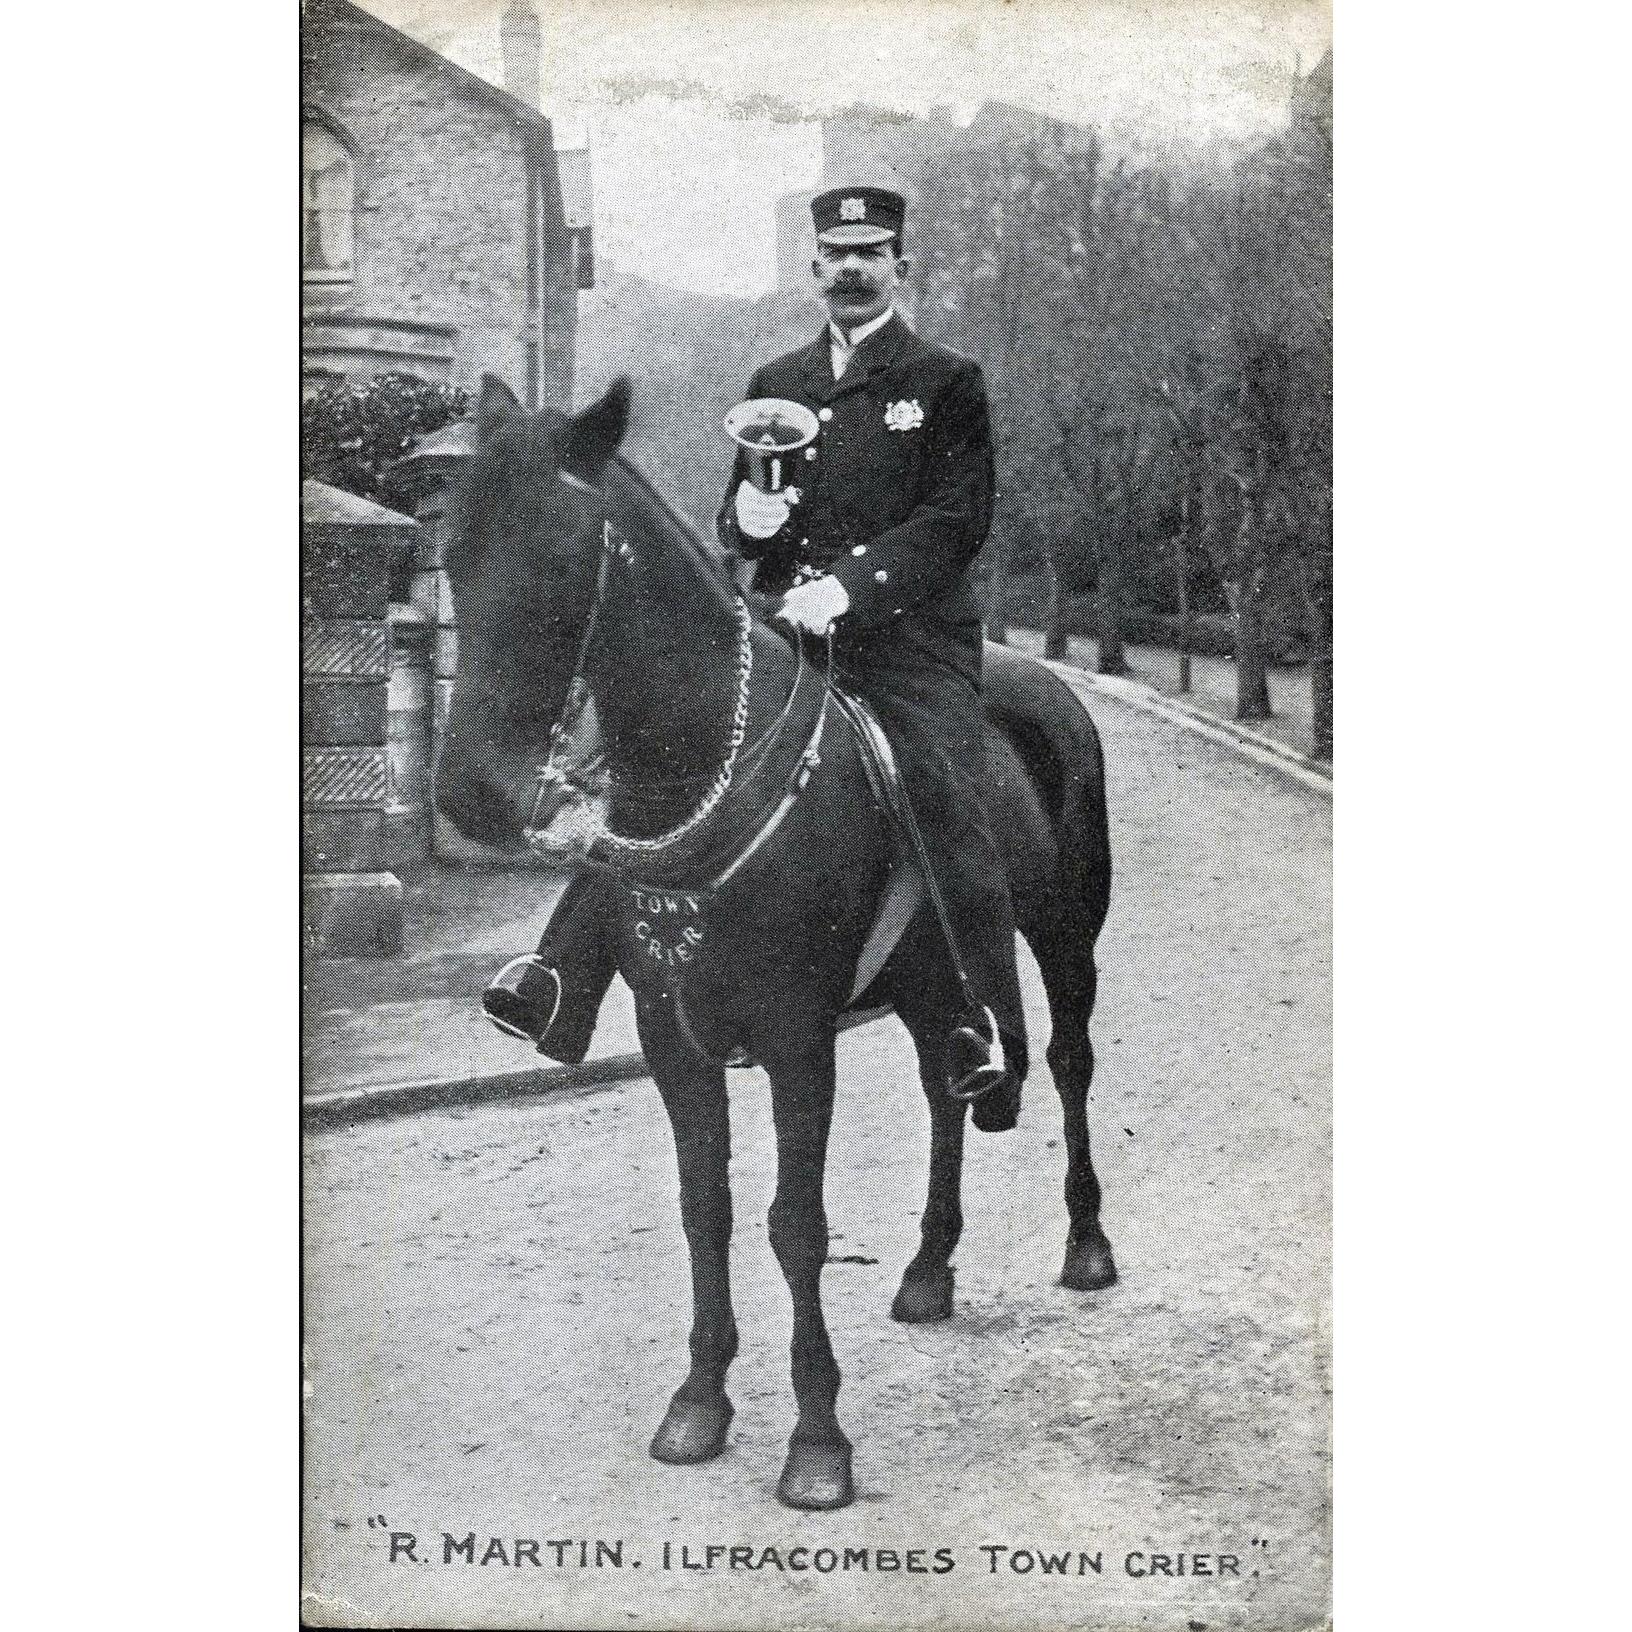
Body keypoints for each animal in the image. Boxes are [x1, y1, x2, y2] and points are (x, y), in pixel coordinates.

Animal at [437, 375, 1122, 1507]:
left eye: (559, 555)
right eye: (453, 552)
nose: (469, 794)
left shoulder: (800, 1039)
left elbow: (795, 1225)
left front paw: (817, 1440)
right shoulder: (673, 1039)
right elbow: (704, 1208)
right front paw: (700, 1400)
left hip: (1066, 935)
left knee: (1069, 1061)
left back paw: (1088, 1242)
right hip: (933, 980)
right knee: (947, 1086)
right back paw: (929, 1268)